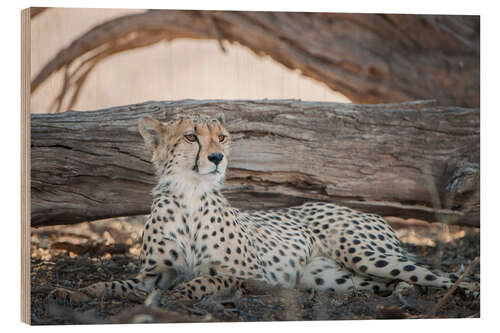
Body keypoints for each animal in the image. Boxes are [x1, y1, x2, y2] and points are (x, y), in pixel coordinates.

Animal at [48, 113, 478, 302]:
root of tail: (369, 212)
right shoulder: (153, 275)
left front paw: (179, 296)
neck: (190, 195)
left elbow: (204, 280)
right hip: (337, 278)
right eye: (191, 136)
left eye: (221, 136)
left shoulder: (250, 274)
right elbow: (118, 284)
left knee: (442, 275)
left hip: (365, 254)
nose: (218, 157)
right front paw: (77, 291)